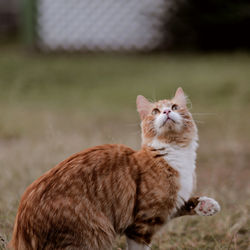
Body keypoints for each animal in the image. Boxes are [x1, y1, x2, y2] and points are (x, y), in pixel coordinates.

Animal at [9, 87, 220, 249]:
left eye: (175, 107)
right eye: (155, 111)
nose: (167, 112)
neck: (173, 153)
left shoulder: (167, 206)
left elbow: (184, 204)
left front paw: (207, 205)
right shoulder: (142, 222)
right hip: (93, 234)